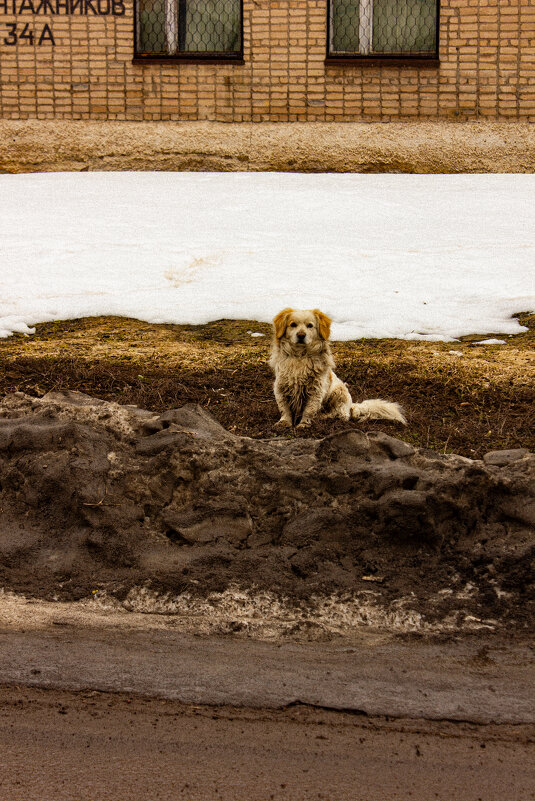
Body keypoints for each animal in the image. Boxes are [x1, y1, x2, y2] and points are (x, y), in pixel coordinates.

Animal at [270, 310, 408, 428]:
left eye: (310, 326)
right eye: (293, 325)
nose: (301, 335)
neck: (300, 357)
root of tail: (351, 406)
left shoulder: (316, 391)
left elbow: (309, 410)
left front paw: (304, 424)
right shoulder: (280, 387)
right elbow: (284, 408)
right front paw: (284, 422)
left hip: (339, 392)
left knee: (341, 414)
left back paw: (324, 416)